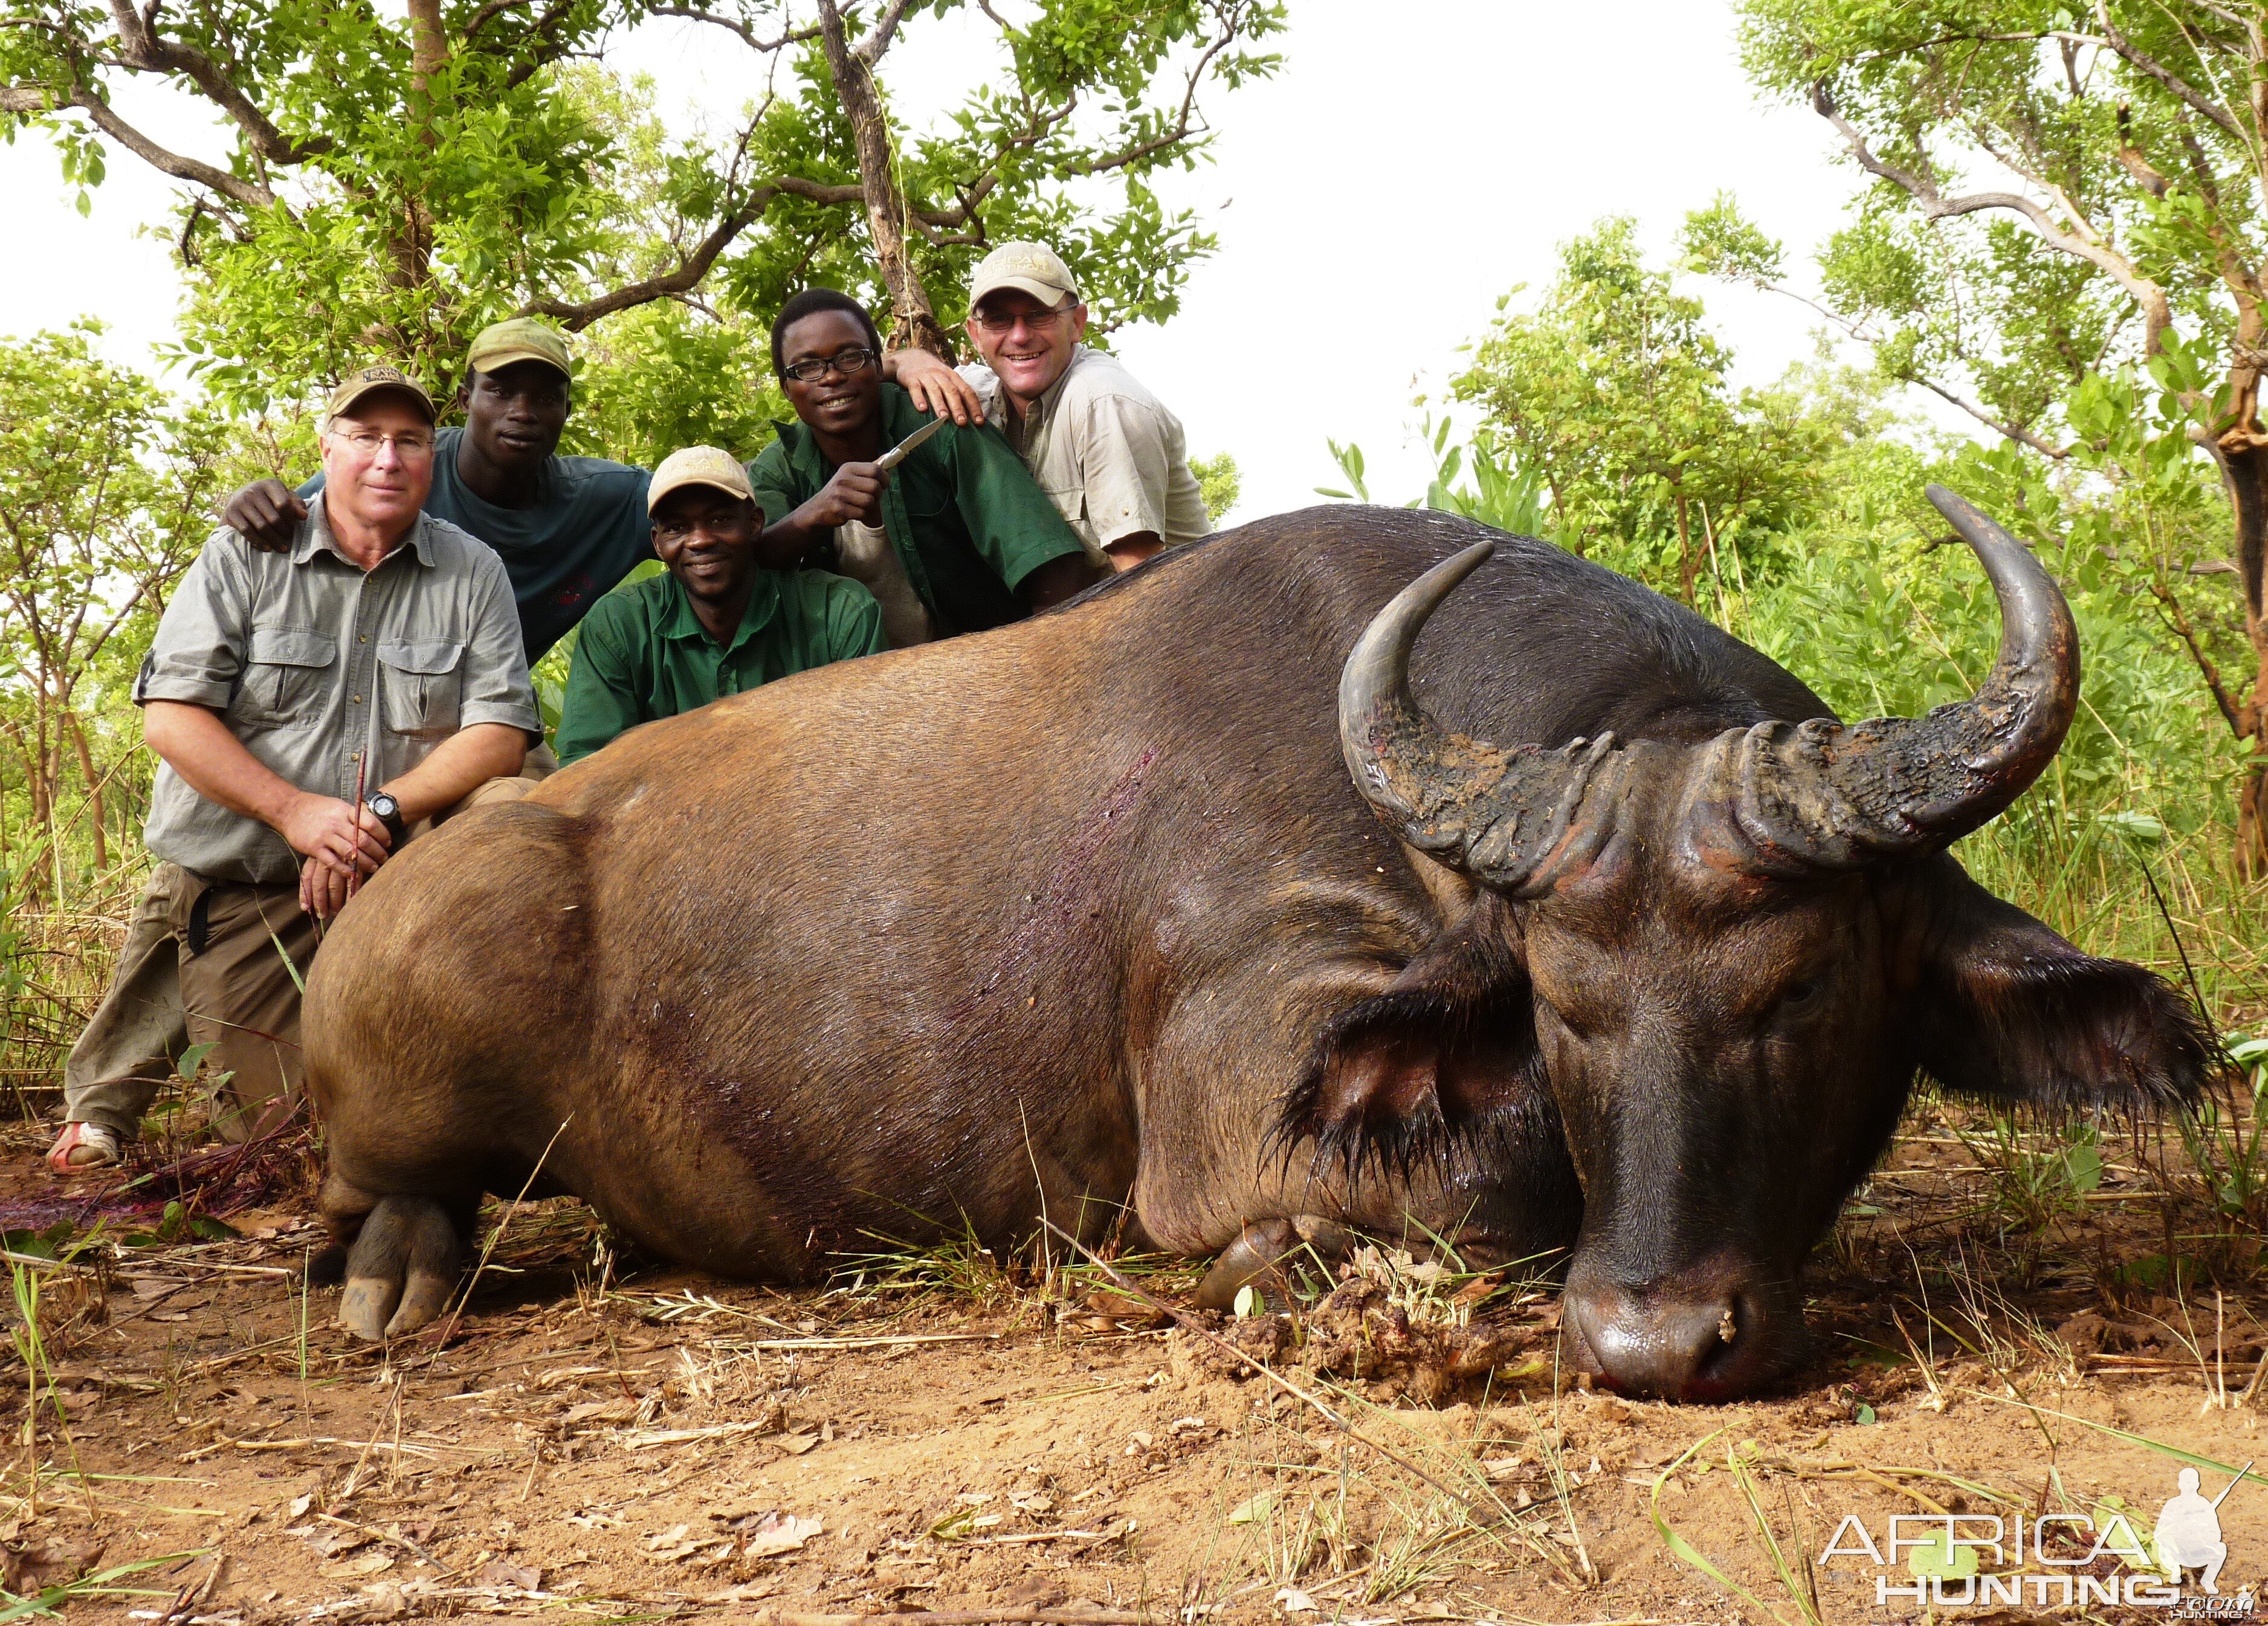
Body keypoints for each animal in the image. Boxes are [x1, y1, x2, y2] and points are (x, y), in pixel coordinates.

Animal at [306, 483, 2213, 1397]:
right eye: (1561, 1003)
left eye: (1804, 987)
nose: (1655, 1345)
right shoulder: (1252, 1084)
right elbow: (1474, 1174)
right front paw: (1280, 1270)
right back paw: (389, 1272)